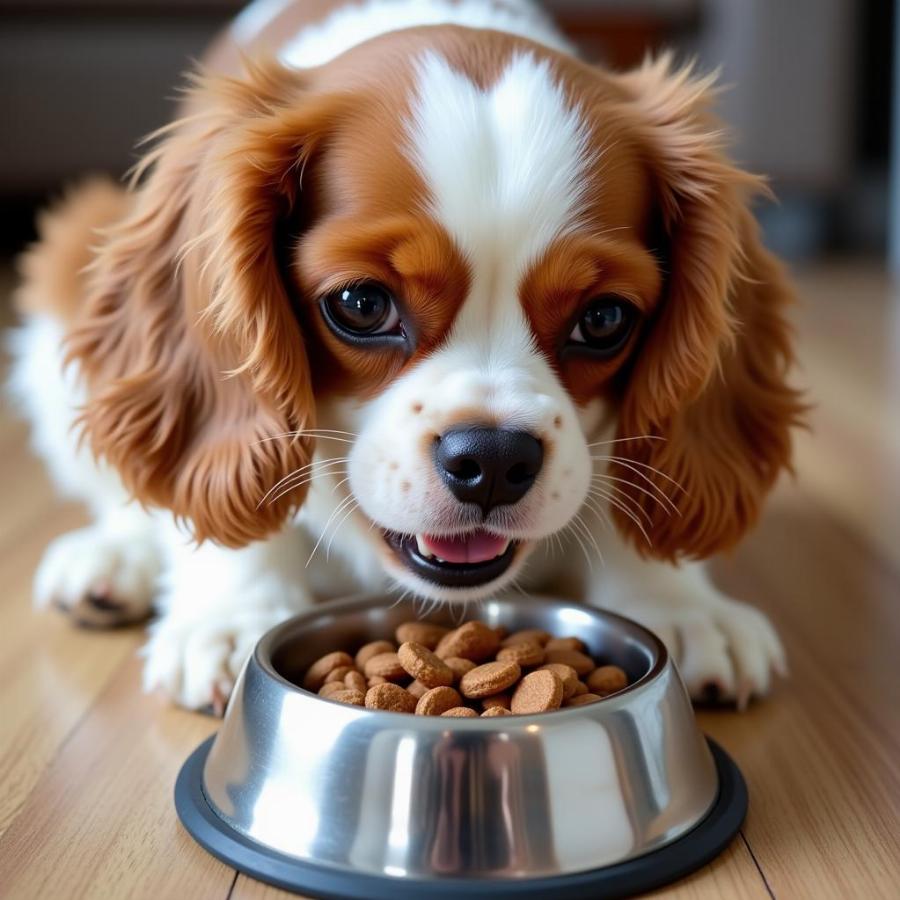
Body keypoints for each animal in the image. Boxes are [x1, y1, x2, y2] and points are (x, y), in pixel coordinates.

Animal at [10, 0, 804, 712]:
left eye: (604, 319)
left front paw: (677, 604)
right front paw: (236, 613)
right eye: (362, 304)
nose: (494, 459)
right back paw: (112, 559)